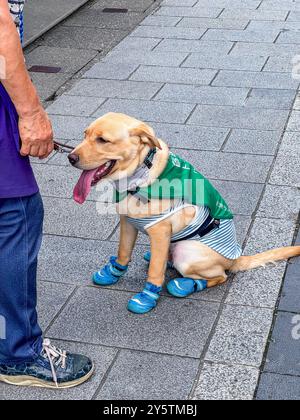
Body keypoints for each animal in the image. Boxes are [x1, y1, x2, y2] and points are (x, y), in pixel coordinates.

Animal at [69, 113, 300, 314]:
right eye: (85, 134)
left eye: (102, 140)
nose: (70, 157)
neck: (139, 176)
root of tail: (235, 259)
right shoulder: (127, 221)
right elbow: (123, 253)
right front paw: (113, 273)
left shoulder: (160, 230)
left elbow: (155, 272)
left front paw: (146, 298)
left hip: (187, 253)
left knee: (219, 276)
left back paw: (186, 285)